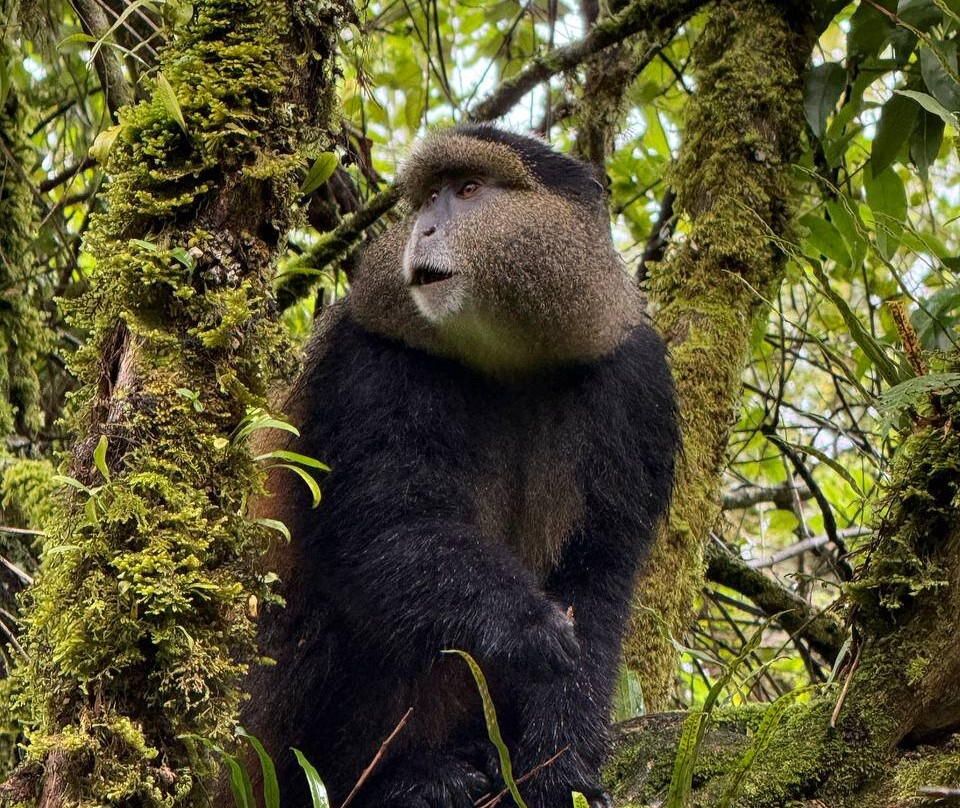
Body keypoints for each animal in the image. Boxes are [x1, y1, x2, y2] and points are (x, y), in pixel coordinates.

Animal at [237, 124, 679, 808]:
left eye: (468, 190)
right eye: (428, 199)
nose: (423, 229)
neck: (510, 359)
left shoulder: (638, 383)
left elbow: (599, 574)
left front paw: (559, 767)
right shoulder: (372, 359)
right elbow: (387, 530)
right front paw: (528, 626)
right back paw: (402, 778)